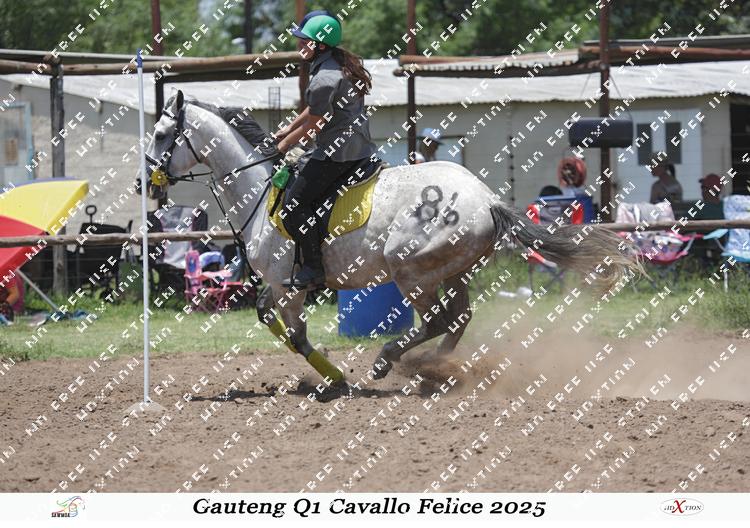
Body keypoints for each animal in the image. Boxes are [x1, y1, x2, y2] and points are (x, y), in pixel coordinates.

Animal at [143, 90, 639, 401]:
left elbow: (294, 332)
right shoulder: (279, 287)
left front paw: (335, 378)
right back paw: (434, 369)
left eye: (163, 135)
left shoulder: (289, 286)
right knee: (457, 318)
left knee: (438, 319)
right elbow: (270, 318)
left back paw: (394, 360)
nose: (143, 182)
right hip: (450, 270)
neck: (262, 194)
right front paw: (332, 376)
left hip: (411, 270)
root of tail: (488, 199)